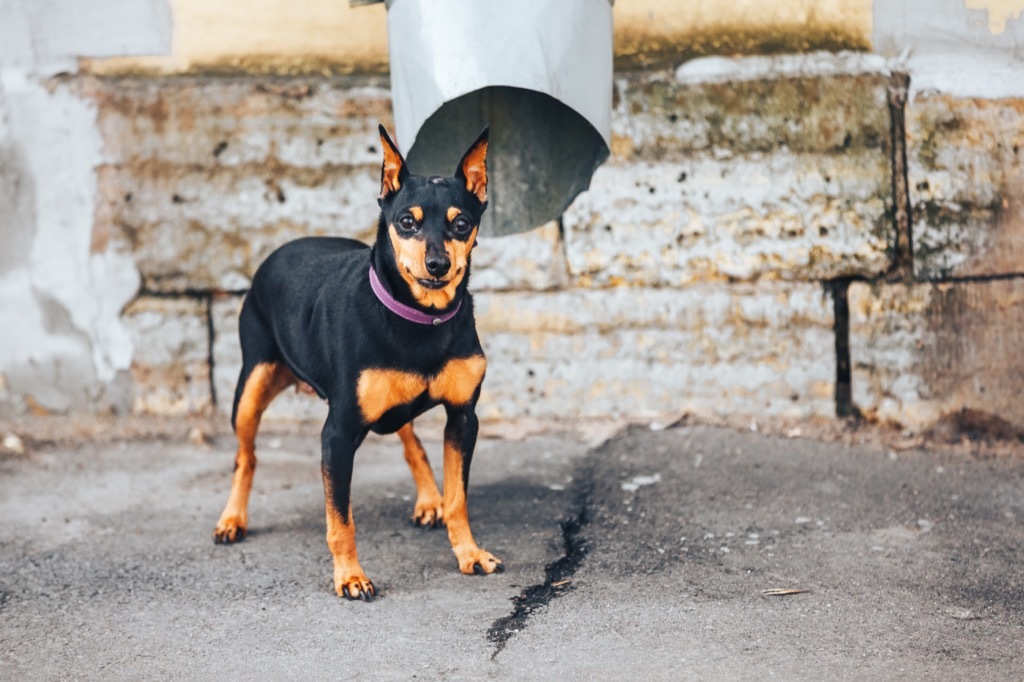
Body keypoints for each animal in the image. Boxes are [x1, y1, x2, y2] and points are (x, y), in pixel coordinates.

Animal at [214, 124, 501, 598]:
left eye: (462, 223)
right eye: (407, 222)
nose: (437, 265)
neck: (420, 318)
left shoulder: (463, 417)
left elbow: (459, 498)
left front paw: (469, 553)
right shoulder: (338, 433)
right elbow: (341, 519)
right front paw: (350, 576)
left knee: (412, 442)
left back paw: (429, 501)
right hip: (251, 388)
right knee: (245, 457)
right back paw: (232, 519)